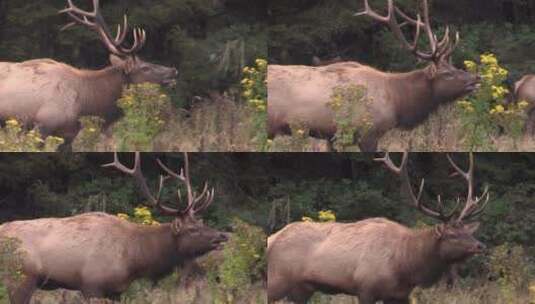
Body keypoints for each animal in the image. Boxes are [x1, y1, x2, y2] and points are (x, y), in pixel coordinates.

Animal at [0, 153, 228, 302]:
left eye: (202, 222)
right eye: (192, 229)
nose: (222, 236)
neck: (134, 259)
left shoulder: (116, 291)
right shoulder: (92, 285)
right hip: (22, 277)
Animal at [268, 0, 482, 152]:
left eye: (454, 66)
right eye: (447, 74)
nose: (476, 78)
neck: (397, 101)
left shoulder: (332, 136)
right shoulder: (368, 132)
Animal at [268, 152, 490, 304]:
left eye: (469, 231)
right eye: (452, 234)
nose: (480, 246)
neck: (405, 266)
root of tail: (271, 239)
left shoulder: (399, 295)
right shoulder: (365, 288)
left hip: (302, 289)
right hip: (277, 280)